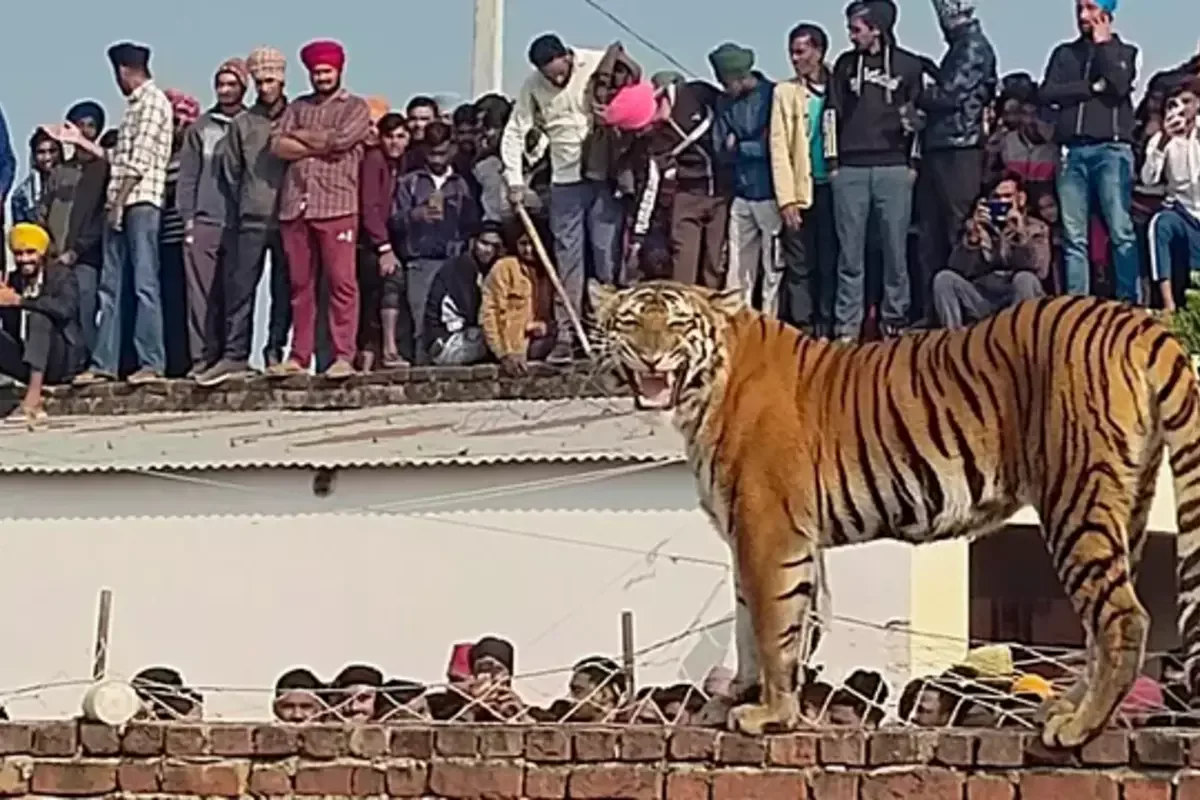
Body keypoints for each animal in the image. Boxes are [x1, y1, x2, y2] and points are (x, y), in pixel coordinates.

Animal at [590, 278, 1200, 748]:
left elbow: (772, 628)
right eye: (630, 322)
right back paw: (1066, 709)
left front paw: (771, 715)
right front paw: (737, 696)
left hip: (1076, 498)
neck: (703, 392)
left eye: (676, 324)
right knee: (1102, 619)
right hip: (1126, 504)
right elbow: (747, 625)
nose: (650, 356)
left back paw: (1078, 727)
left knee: (1123, 617)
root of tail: (1129, 317)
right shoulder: (749, 535)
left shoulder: (769, 531)